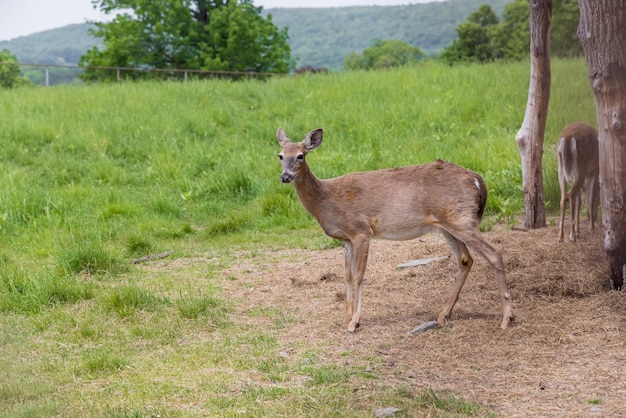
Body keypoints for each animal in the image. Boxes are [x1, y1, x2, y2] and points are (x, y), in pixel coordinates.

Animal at [278, 127, 512, 334]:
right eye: (280, 155)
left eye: (300, 156)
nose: (285, 177)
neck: (327, 200)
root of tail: (478, 180)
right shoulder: (346, 240)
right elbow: (346, 276)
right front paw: (345, 319)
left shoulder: (362, 231)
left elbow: (358, 276)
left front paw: (354, 323)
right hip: (449, 225)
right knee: (465, 259)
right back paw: (444, 314)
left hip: (462, 220)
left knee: (494, 253)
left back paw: (506, 318)